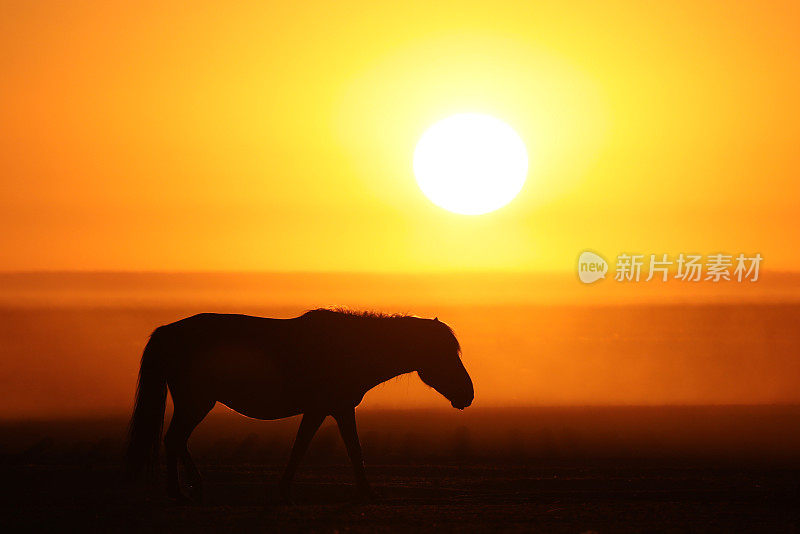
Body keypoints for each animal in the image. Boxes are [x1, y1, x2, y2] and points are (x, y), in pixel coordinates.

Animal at [126, 310, 472, 506]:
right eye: (444, 353)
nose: (467, 395)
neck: (351, 347)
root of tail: (168, 331)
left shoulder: (331, 409)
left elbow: (324, 447)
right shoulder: (330, 408)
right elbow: (331, 448)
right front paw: (367, 493)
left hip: (195, 403)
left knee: (176, 441)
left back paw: (191, 488)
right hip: (197, 402)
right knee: (174, 439)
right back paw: (181, 491)